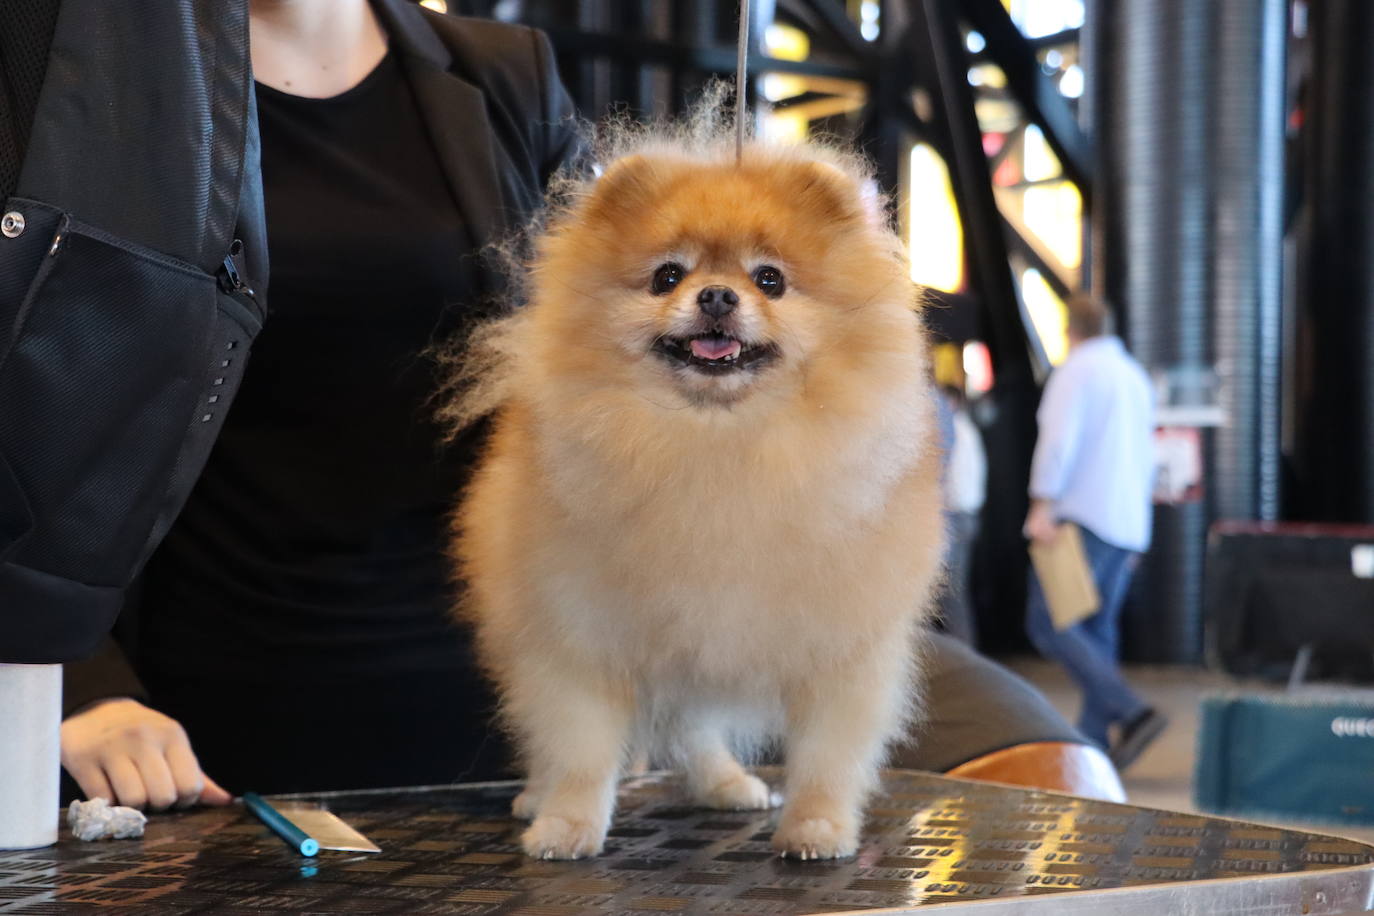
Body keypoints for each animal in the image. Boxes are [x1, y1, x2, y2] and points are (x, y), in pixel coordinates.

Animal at [450, 125, 945, 862]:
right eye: (667, 276)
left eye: (770, 279)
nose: (716, 297)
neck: (715, 447)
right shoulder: (578, 635)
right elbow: (579, 750)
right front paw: (567, 824)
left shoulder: (843, 647)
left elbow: (828, 754)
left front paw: (817, 826)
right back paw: (541, 797)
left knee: (694, 726)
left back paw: (726, 783)